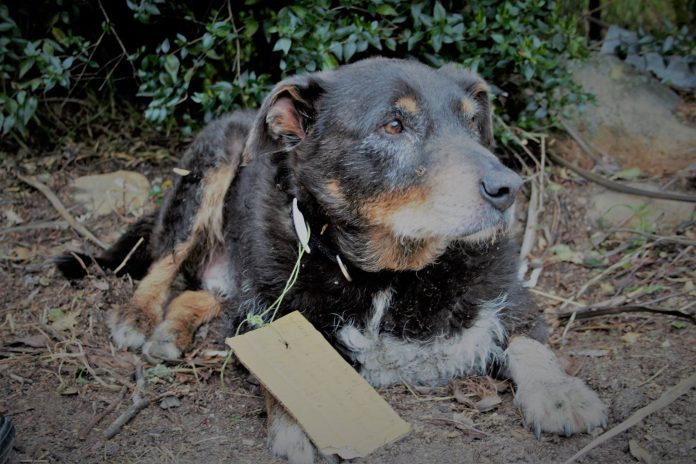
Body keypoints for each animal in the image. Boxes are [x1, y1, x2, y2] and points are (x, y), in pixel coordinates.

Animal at [57, 58, 608, 464]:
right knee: (164, 262)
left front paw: (560, 392)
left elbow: (531, 345)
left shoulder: (513, 298)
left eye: (473, 123)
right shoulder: (271, 312)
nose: (508, 187)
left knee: (204, 293)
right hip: (210, 170)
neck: (390, 275)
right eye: (393, 125)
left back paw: (173, 329)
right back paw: (139, 317)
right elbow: (285, 370)